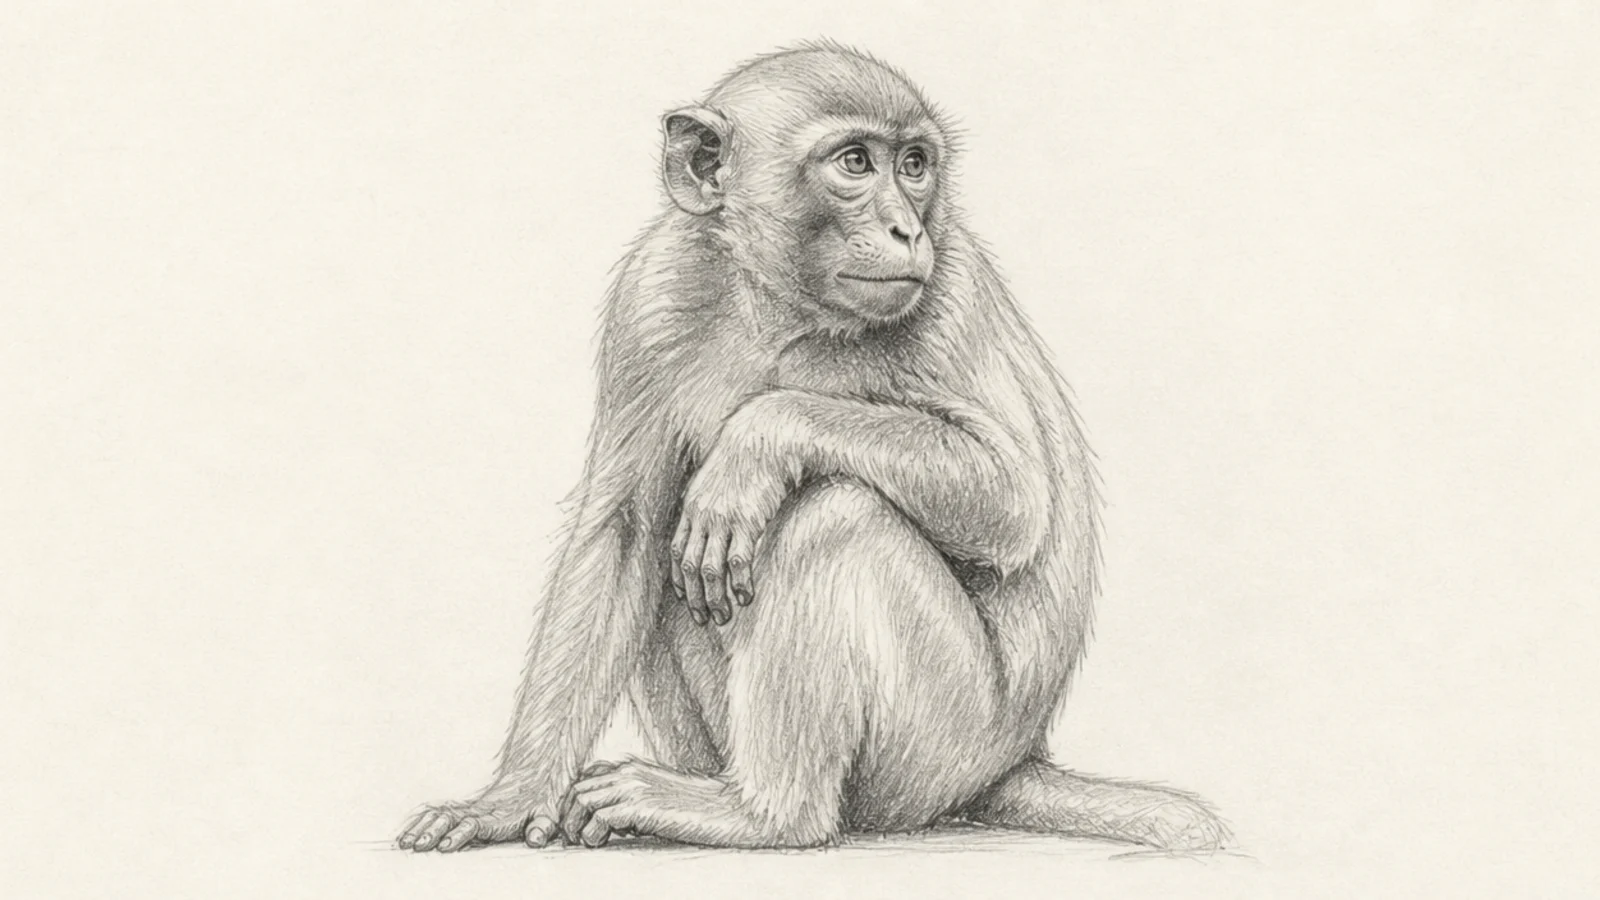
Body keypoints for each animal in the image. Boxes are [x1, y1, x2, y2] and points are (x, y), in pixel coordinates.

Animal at [396, 42, 1232, 854]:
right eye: (855, 162)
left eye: (914, 164)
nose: (907, 229)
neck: (784, 312)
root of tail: (1004, 765)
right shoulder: (650, 296)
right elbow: (622, 530)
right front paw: (509, 799)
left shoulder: (950, 288)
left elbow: (1013, 500)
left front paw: (759, 439)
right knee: (688, 552)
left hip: (942, 741)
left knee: (835, 514)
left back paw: (765, 815)